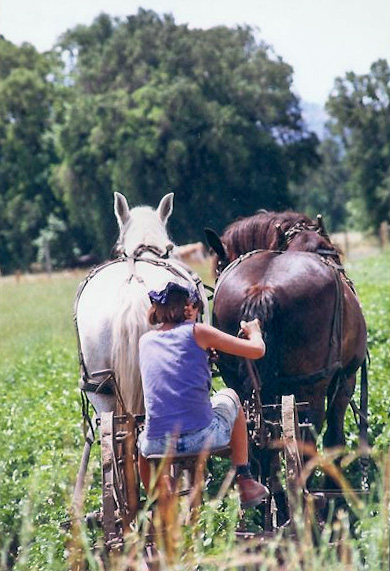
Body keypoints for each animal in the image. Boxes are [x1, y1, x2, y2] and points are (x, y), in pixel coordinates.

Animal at [206, 212, 368, 484]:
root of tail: (263, 289)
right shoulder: (346, 378)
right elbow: (334, 437)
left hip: (237, 381)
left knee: (254, 439)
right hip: (311, 386)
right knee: (309, 440)